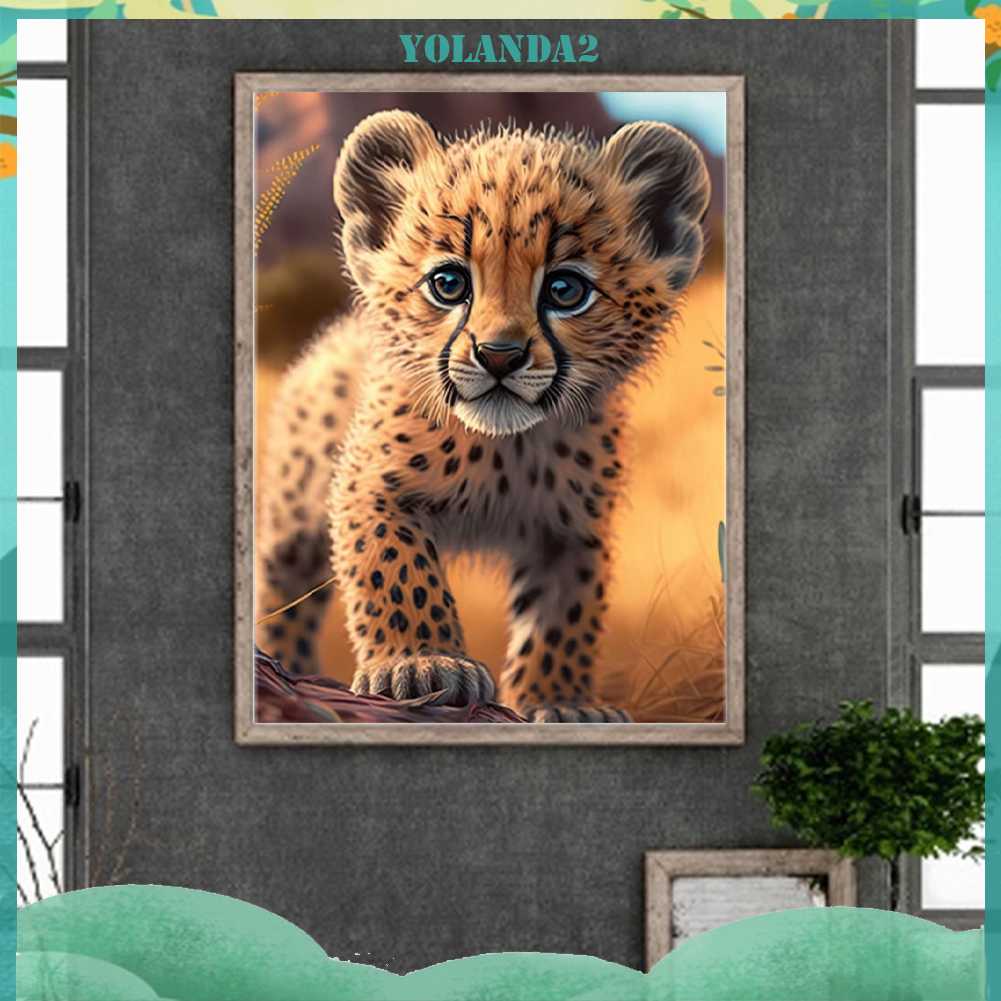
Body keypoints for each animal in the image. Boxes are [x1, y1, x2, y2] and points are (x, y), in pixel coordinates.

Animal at [256, 109, 710, 723]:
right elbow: (397, 570)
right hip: (294, 503)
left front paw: (560, 701)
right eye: (449, 284)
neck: (506, 448)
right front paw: (423, 662)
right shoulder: (371, 486)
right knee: (283, 582)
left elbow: (566, 614)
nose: (499, 355)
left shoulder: (573, 529)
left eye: (565, 290)